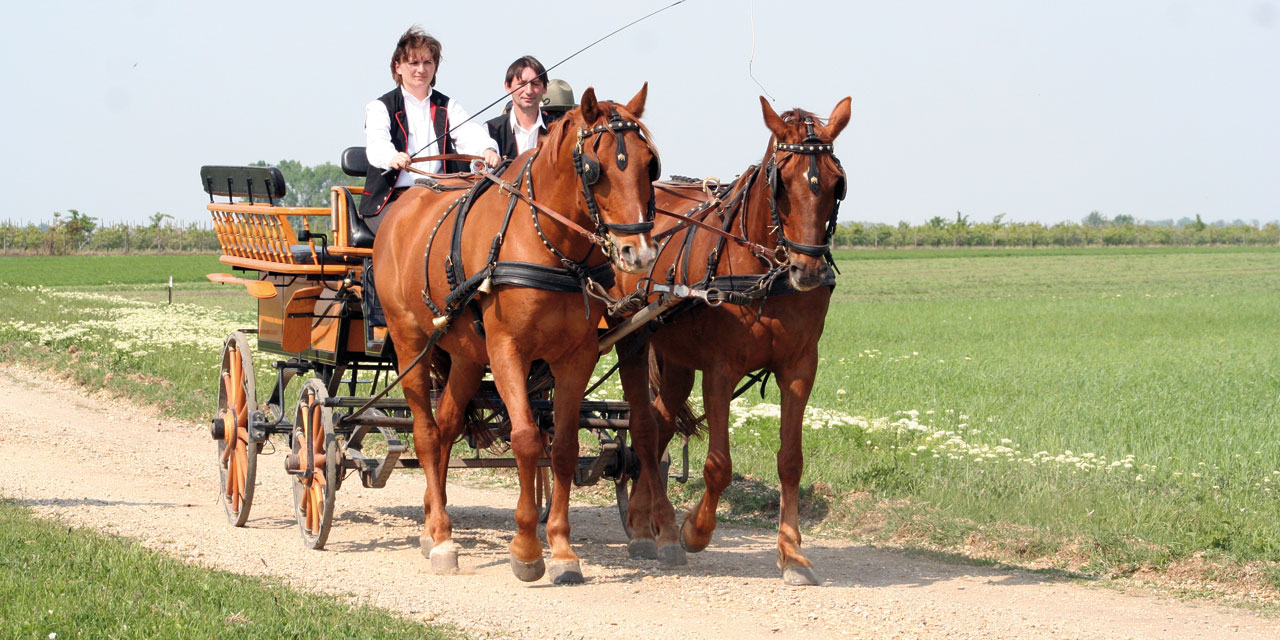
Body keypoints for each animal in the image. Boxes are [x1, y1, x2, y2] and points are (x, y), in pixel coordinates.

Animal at [373, 86, 660, 586]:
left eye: (649, 164)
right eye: (596, 167)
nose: (638, 254)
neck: (553, 248)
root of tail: (402, 206)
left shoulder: (576, 356)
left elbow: (562, 447)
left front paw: (562, 551)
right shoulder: (508, 349)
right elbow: (527, 438)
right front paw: (527, 548)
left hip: (467, 357)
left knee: (446, 428)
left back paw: (432, 522)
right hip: (410, 345)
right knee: (426, 434)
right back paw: (442, 538)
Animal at [611, 96, 844, 586]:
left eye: (837, 183)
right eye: (782, 182)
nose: (809, 271)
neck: (763, 272)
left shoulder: (800, 369)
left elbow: (791, 460)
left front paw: (792, 554)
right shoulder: (719, 371)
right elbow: (719, 465)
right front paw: (694, 531)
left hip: (676, 360)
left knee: (658, 426)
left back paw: (643, 524)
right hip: (634, 340)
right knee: (643, 426)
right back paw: (654, 528)